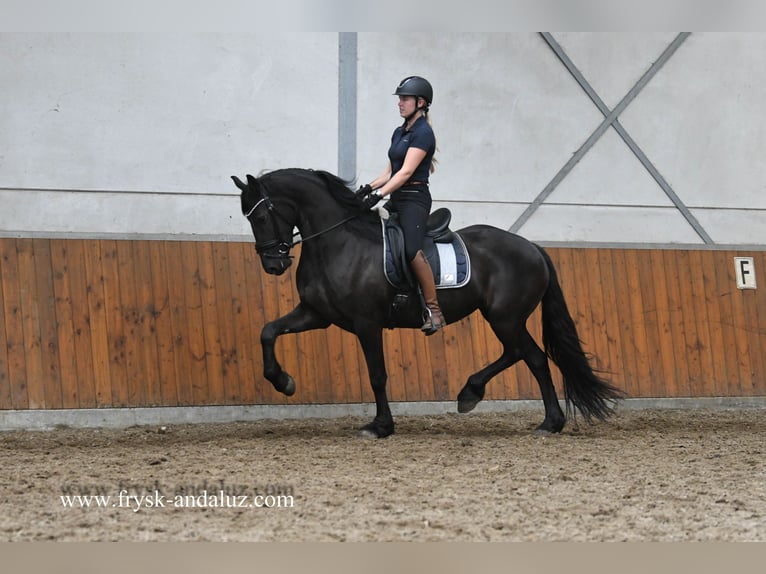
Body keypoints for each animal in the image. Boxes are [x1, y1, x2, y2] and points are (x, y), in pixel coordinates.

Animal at [230, 169, 624, 438]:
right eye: (250, 218)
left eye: (261, 216)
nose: (273, 265)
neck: (338, 242)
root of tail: (532, 247)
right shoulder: (315, 314)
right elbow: (268, 332)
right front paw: (283, 382)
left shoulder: (366, 323)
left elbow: (377, 375)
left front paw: (380, 426)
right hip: (502, 318)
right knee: (519, 354)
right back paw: (475, 394)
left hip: (505, 317)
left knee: (534, 358)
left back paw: (547, 422)